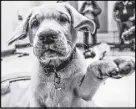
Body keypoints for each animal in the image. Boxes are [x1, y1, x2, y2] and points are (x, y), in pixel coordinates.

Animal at [7, 2, 135, 107]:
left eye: (63, 19)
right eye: (34, 23)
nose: (47, 35)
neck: (55, 69)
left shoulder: (82, 93)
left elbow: (91, 67)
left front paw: (113, 63)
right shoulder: (36, 98)